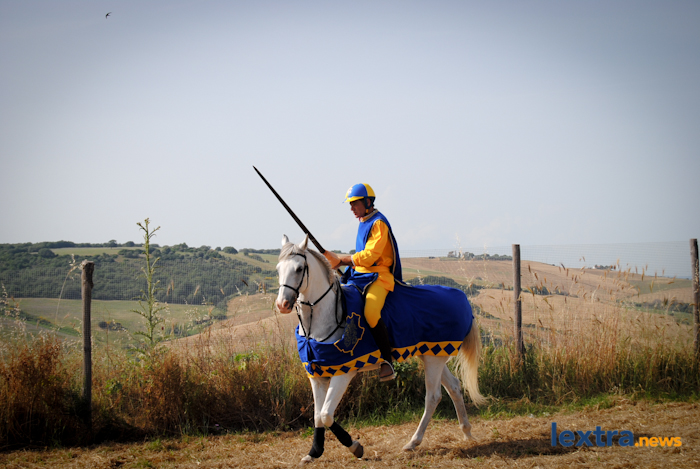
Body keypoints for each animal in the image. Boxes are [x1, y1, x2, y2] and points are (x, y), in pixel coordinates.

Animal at [275, 234, 487, 464]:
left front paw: (355, 447)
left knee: (433, 396)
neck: (325, 316)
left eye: (299, 268)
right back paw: (466, 432)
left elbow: (326, 415)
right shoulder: (317, 375)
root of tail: (462, 298)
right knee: (454, 387)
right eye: (278, 268)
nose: (282, 304)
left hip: (434, 359)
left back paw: (413, 442)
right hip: (432, 353)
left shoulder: (344, 373)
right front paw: (314, 452)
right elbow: (317, 416)